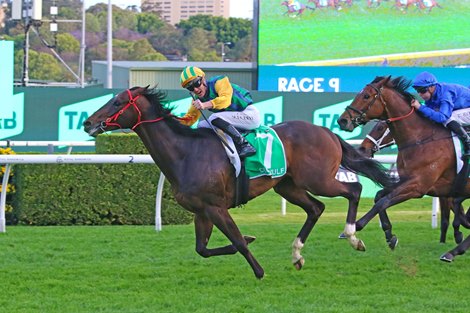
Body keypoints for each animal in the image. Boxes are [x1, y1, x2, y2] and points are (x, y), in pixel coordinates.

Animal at [82, 86, 394, 278]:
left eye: (118, 102)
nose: (87, 123)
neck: (186, 153)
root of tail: (326, 131)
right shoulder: (201, 211)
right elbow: (203, 249)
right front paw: (248, 238)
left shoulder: (216, 207)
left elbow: (236, 243)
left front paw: (259, 270)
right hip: (288, 185)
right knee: (316, 208)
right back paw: (297, 254)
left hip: (317, 179)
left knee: (353, 190)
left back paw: (353, 236)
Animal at [338, 76, 470, 264]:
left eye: (366, 96)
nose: (342, 120)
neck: (421, 139)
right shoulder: (408, 181)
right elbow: (379, 197)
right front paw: (389, 235)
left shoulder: (418, 187)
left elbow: (383, 201)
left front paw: (355, 227)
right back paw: (453, 252)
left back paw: (453, 250)